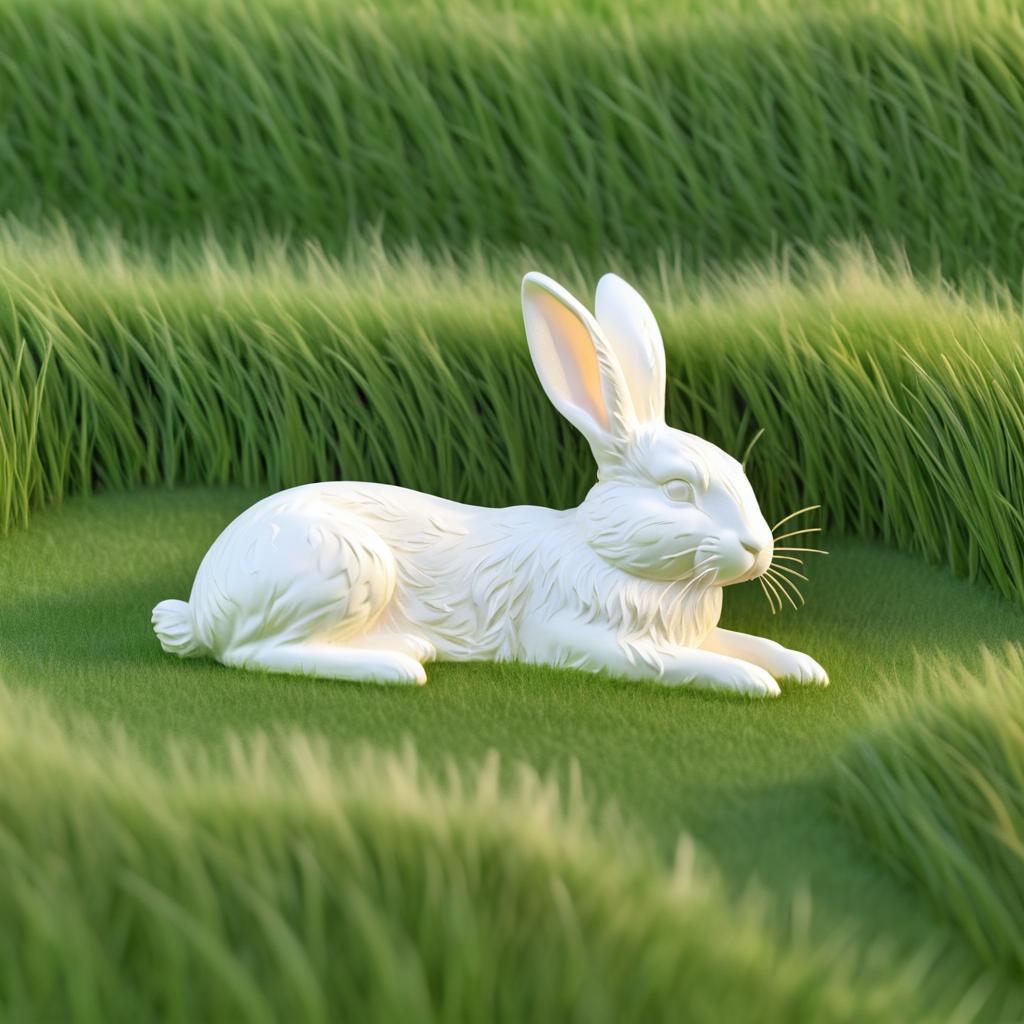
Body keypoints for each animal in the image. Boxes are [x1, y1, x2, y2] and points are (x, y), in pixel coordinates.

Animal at [151, 274, 827, 696]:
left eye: (740, 473)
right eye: (679, 491)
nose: (758, 548)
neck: (603, 553)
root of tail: (202, 608)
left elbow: (744, 641)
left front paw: (801, 668)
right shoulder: (573, 634)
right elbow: (670, 661)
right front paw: (749, 682)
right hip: (344, 564)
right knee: (253, 653)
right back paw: (395, 665)